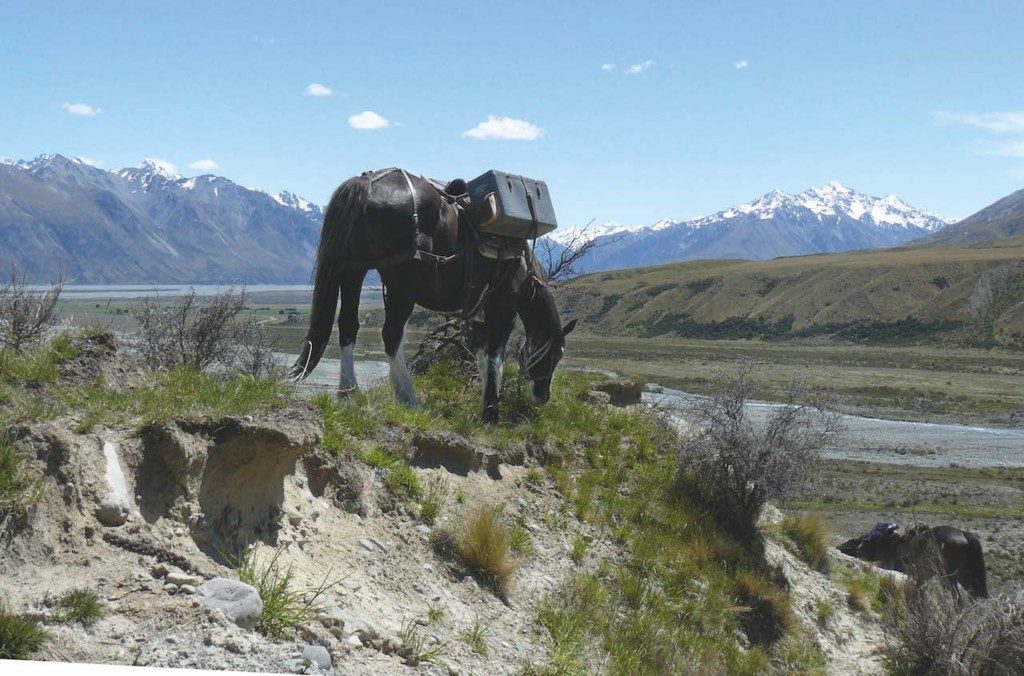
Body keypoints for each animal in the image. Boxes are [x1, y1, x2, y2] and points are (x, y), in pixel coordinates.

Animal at [288, 167, 577, 421]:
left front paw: (484, 409)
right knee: (391, 335)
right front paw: (491, 414)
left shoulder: (480, 316)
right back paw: (408, 397)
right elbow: (496, 358)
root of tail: (366, 183)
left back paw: (349, 392)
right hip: (400, 283)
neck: (523, 267)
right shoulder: (504, 307)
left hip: (353, 270)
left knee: (349, 326)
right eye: (556, 354)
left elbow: (483, 359)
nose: (542, 397)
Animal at [839, 522, 983, 598]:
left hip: (949, 578)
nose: (859, 549)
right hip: (966, 579)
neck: (891, 546)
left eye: (872, 538)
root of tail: (963, 534)